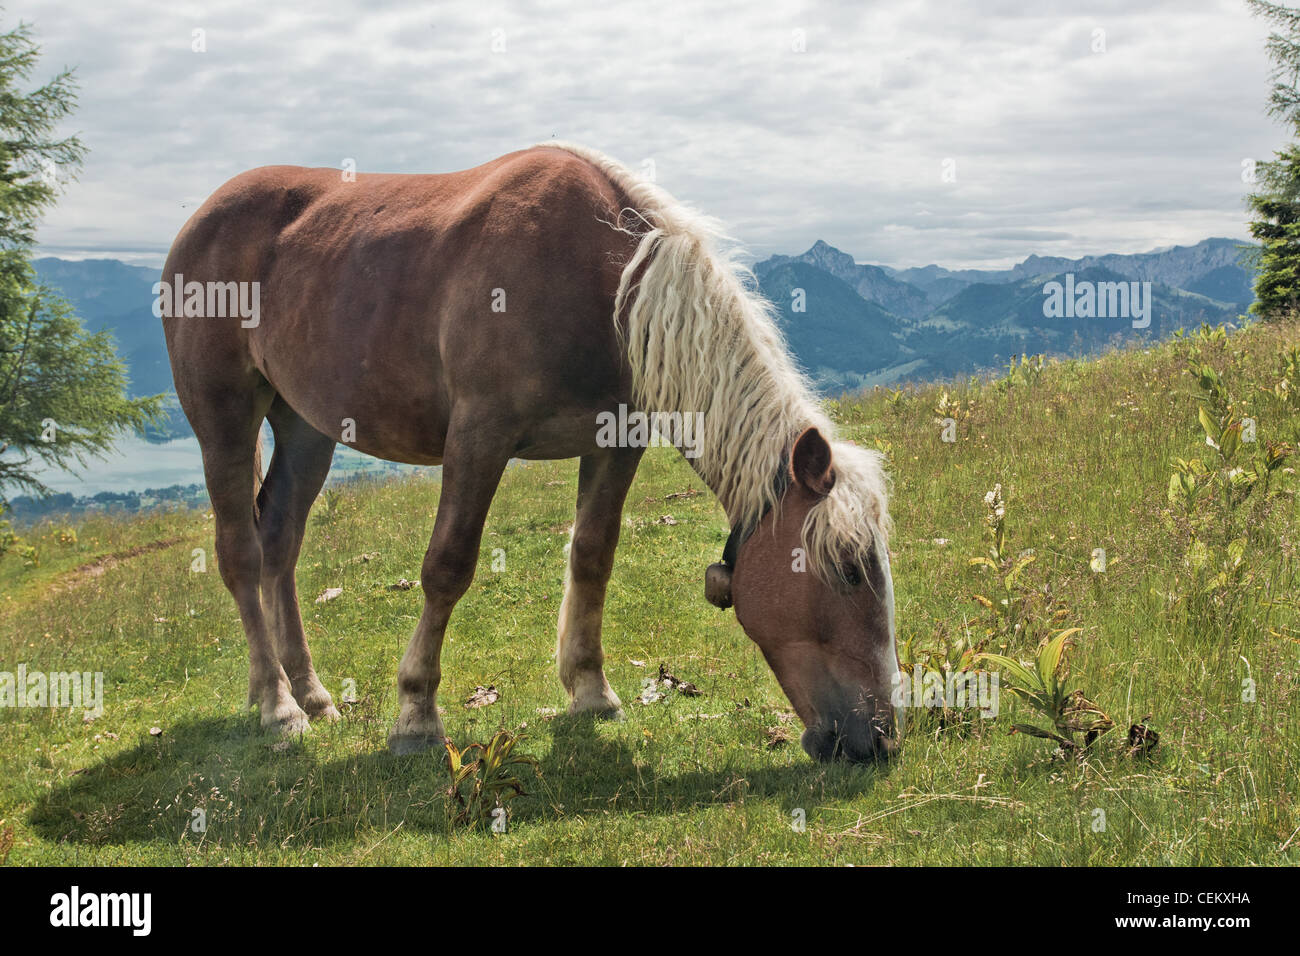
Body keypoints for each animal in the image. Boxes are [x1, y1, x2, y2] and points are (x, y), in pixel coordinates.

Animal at [157, 141, 899, 764]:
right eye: (848, 572)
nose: (879, 738)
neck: (604, 282)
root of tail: (199, 220)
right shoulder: (479, 437)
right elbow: (447, 567)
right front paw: (417, 714)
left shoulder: (616, 443)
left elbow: (593, 556)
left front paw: (590, 690)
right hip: (224, 415)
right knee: (241, 553)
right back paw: (277, 705)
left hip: (306, 427)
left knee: (280, 542)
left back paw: (307, 693)